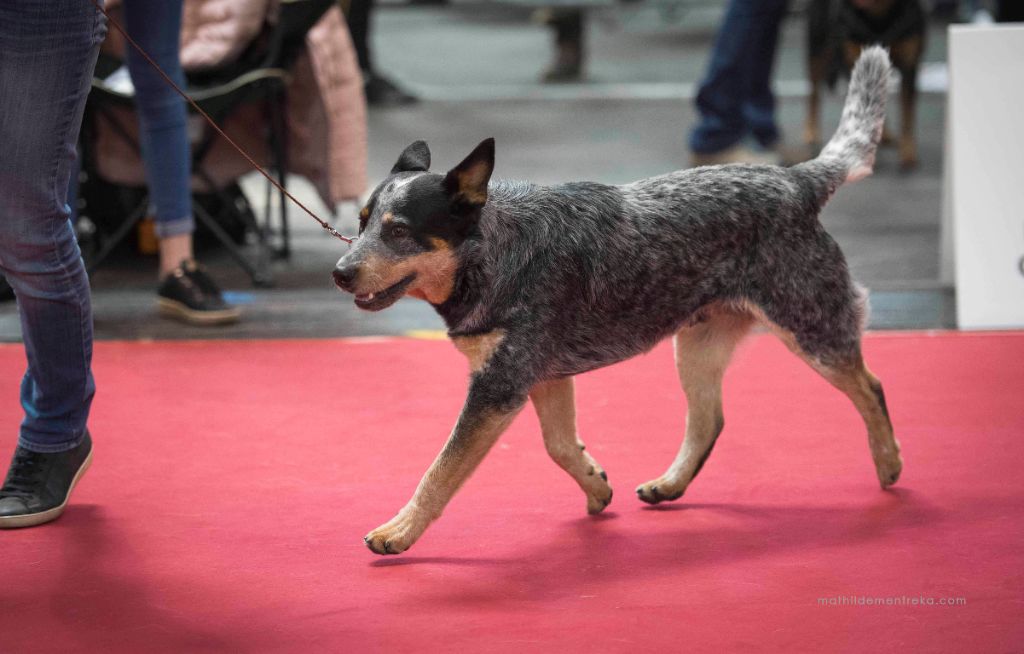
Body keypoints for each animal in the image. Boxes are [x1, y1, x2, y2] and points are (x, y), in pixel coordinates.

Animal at [335, 48, 905, 556]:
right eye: (362, 223)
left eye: (399, 232)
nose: (339, 272)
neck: (495, 252)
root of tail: (796, 178)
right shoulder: (542, 377)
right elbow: (559, 445)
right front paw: (596, 486)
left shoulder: (499, 387)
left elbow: (441, 470)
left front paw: (398, 531)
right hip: (696, 347)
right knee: (709, 420)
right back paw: (670, 484)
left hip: (810, 328)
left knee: (871, 385)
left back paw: (889, 464)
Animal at [806, 0, 929, 168]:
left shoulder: (909, 64)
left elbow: (907, 114)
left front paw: (908, 152)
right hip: (817, 47)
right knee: (814, 92)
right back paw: (812, 130)